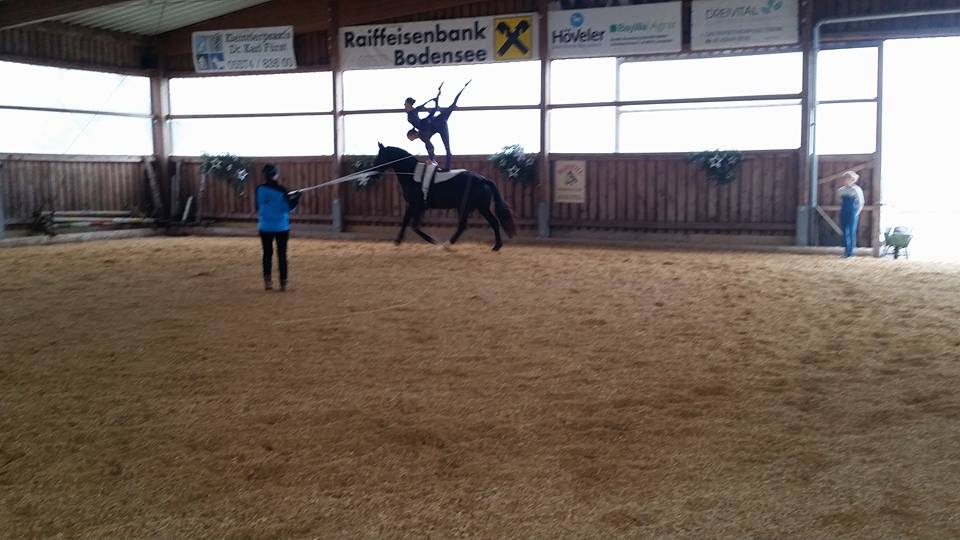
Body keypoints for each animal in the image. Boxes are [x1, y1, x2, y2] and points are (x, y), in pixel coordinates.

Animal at [372, 144, 516, 252]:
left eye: (380, 156)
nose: (373, 172)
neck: (412, 174)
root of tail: (483, 179)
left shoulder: (417, 206)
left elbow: (414, 226)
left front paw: (433, 241)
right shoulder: (411, 205)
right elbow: (405, 221)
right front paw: (397, 241)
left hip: (467, 207)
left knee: (463, 226)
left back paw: (447, 244)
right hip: (481, 207)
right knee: (493, 222)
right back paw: (496, 246)